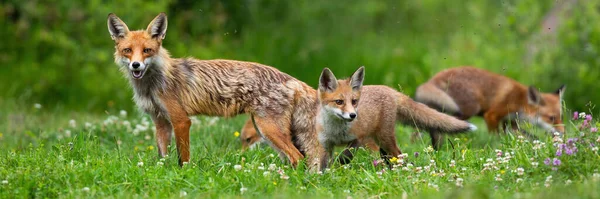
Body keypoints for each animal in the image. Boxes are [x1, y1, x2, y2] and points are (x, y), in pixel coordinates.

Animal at [105, 13, 326, 170]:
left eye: (147, 51)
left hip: (268, 129)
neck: (152, 85)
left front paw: (184, 175)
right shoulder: (160, 122)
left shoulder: (181, 120)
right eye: (127, 50)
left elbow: (183, 157)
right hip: (266, 129)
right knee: (295, 158)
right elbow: (162, 157)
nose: (135, 65)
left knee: (298, 158)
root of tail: (291, 79)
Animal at [414, 66, 564, 141]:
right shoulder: (492, 115)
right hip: (470, 110)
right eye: (551, 118)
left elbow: (528, 135)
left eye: (560, 117)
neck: (520, 101)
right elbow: (496, 137)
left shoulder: (510, 123)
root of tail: (434, 78)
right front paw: (497, 146)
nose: (563, 132)